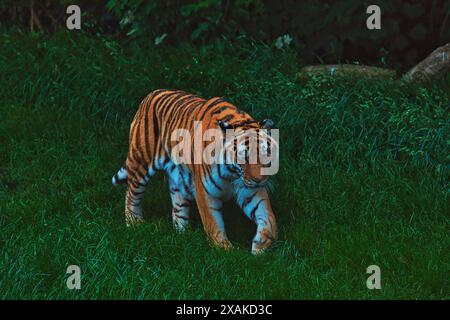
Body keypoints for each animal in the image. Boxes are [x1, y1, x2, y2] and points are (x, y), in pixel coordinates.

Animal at [112, 89, 278, 254]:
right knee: (131, 193)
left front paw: (260, 245)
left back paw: (182, 235)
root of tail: (151, 94)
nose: (259, 180)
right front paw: (225, 250)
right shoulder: (205, 192)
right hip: (141, 161)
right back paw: (134, 223)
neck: (233, 174)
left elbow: (269, 219)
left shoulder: (251, 190)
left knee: (178, 207)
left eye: (265, 154)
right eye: (244, 157)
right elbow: (213, 224)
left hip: (178, 180)